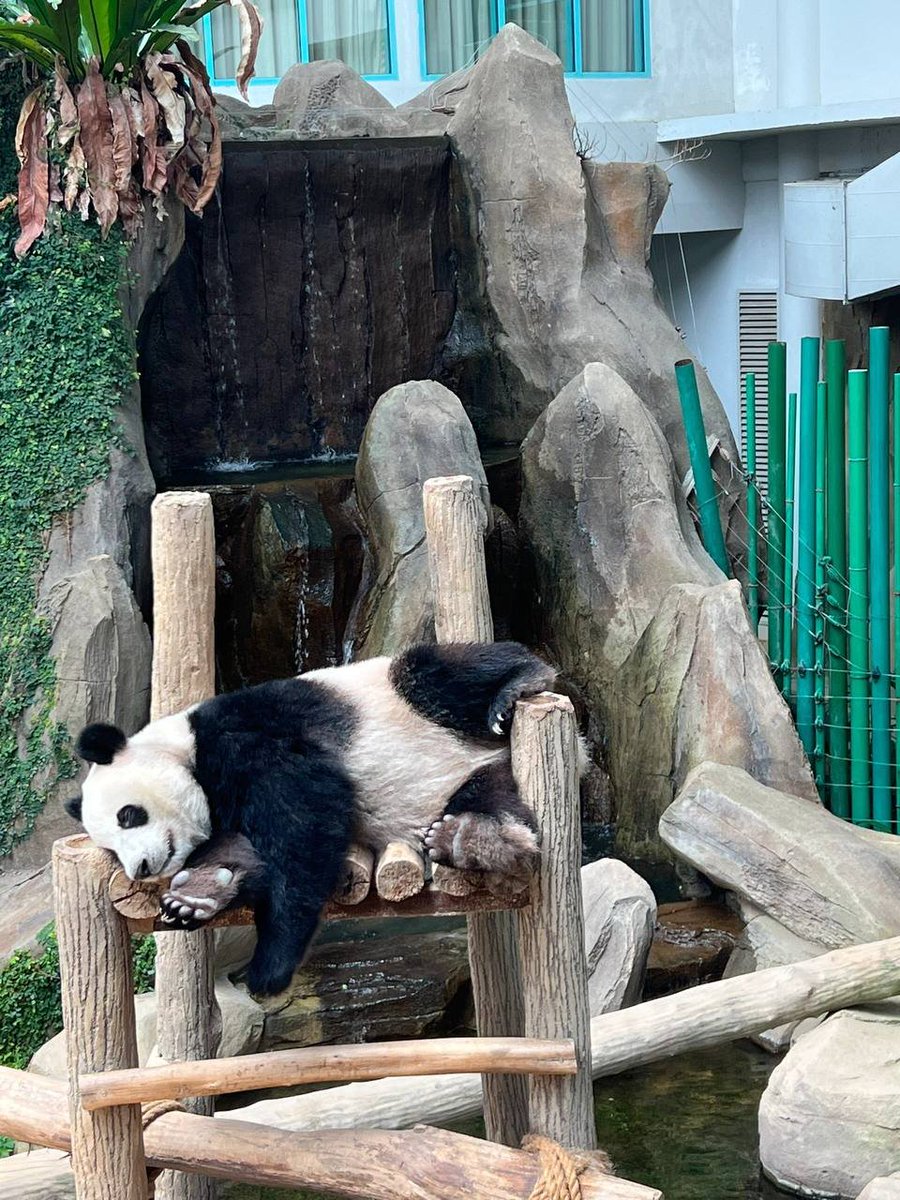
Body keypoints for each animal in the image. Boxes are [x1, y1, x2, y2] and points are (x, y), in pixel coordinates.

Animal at [67, 642, 558, 997]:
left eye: (128, 815)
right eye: (109, 848)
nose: (141, 868)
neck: (184, 751)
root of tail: (496, 754)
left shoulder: (244, 735)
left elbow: (302, 813)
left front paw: (269, 967)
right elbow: (243, 850)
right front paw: (196, 895)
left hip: (410, 697)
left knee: (440, 672)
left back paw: (516, 683)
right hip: (477, 782)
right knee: (489, 795)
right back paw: (472, 837)